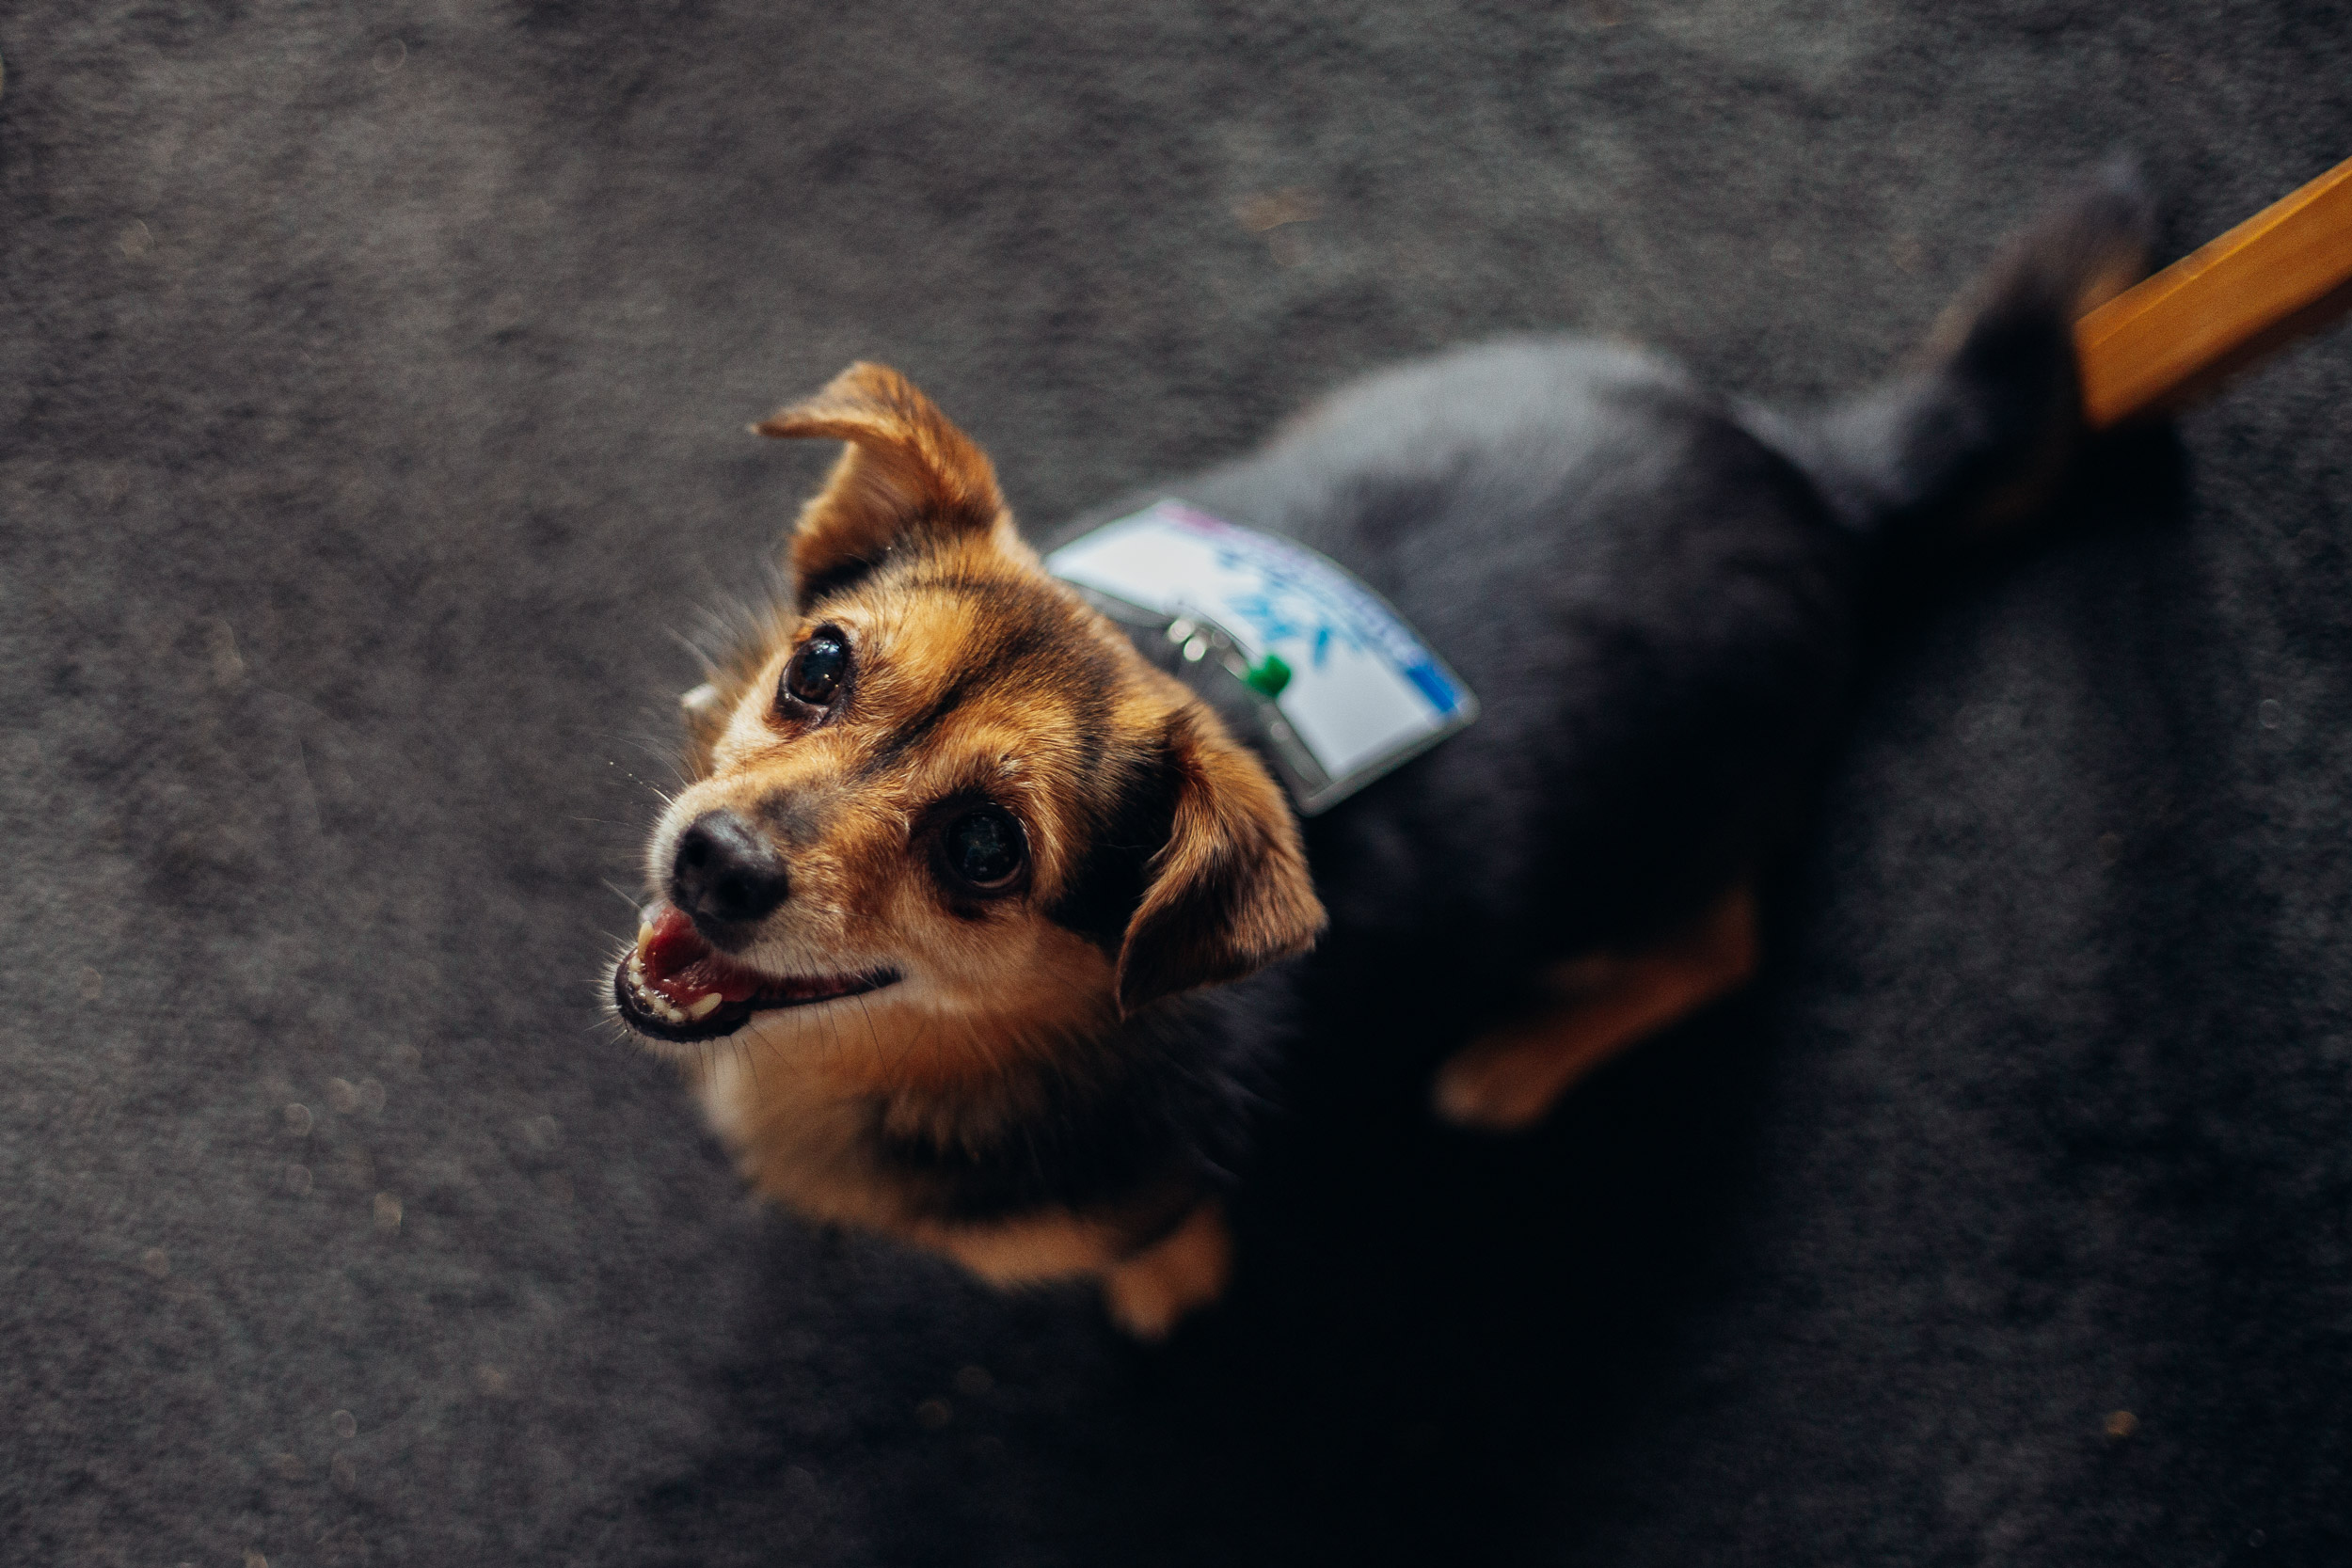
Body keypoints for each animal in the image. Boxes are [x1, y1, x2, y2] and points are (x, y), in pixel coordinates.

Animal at [608, 167, 2152, 1337]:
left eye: (985, 847)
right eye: (819, 666)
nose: (715, 859)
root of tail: (1812, 472)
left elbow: (1162, 1251)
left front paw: (1162, 1288)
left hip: (1647, 859)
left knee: (1721, 943)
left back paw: (1515, 1058)